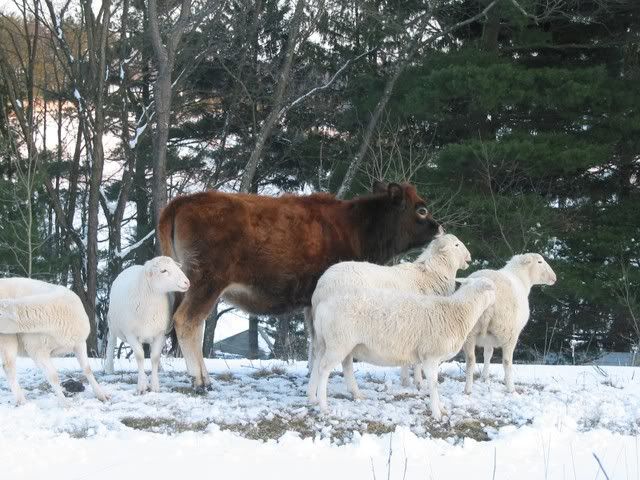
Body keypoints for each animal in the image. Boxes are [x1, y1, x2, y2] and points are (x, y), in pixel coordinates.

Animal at [157, 181, 441, 391]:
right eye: (421, 209)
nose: (439, 227)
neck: (355, 227)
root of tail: (183, 201)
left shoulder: (310, 301)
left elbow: (314, 340)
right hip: (206, 283)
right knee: (187, 321)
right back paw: (200, 381)